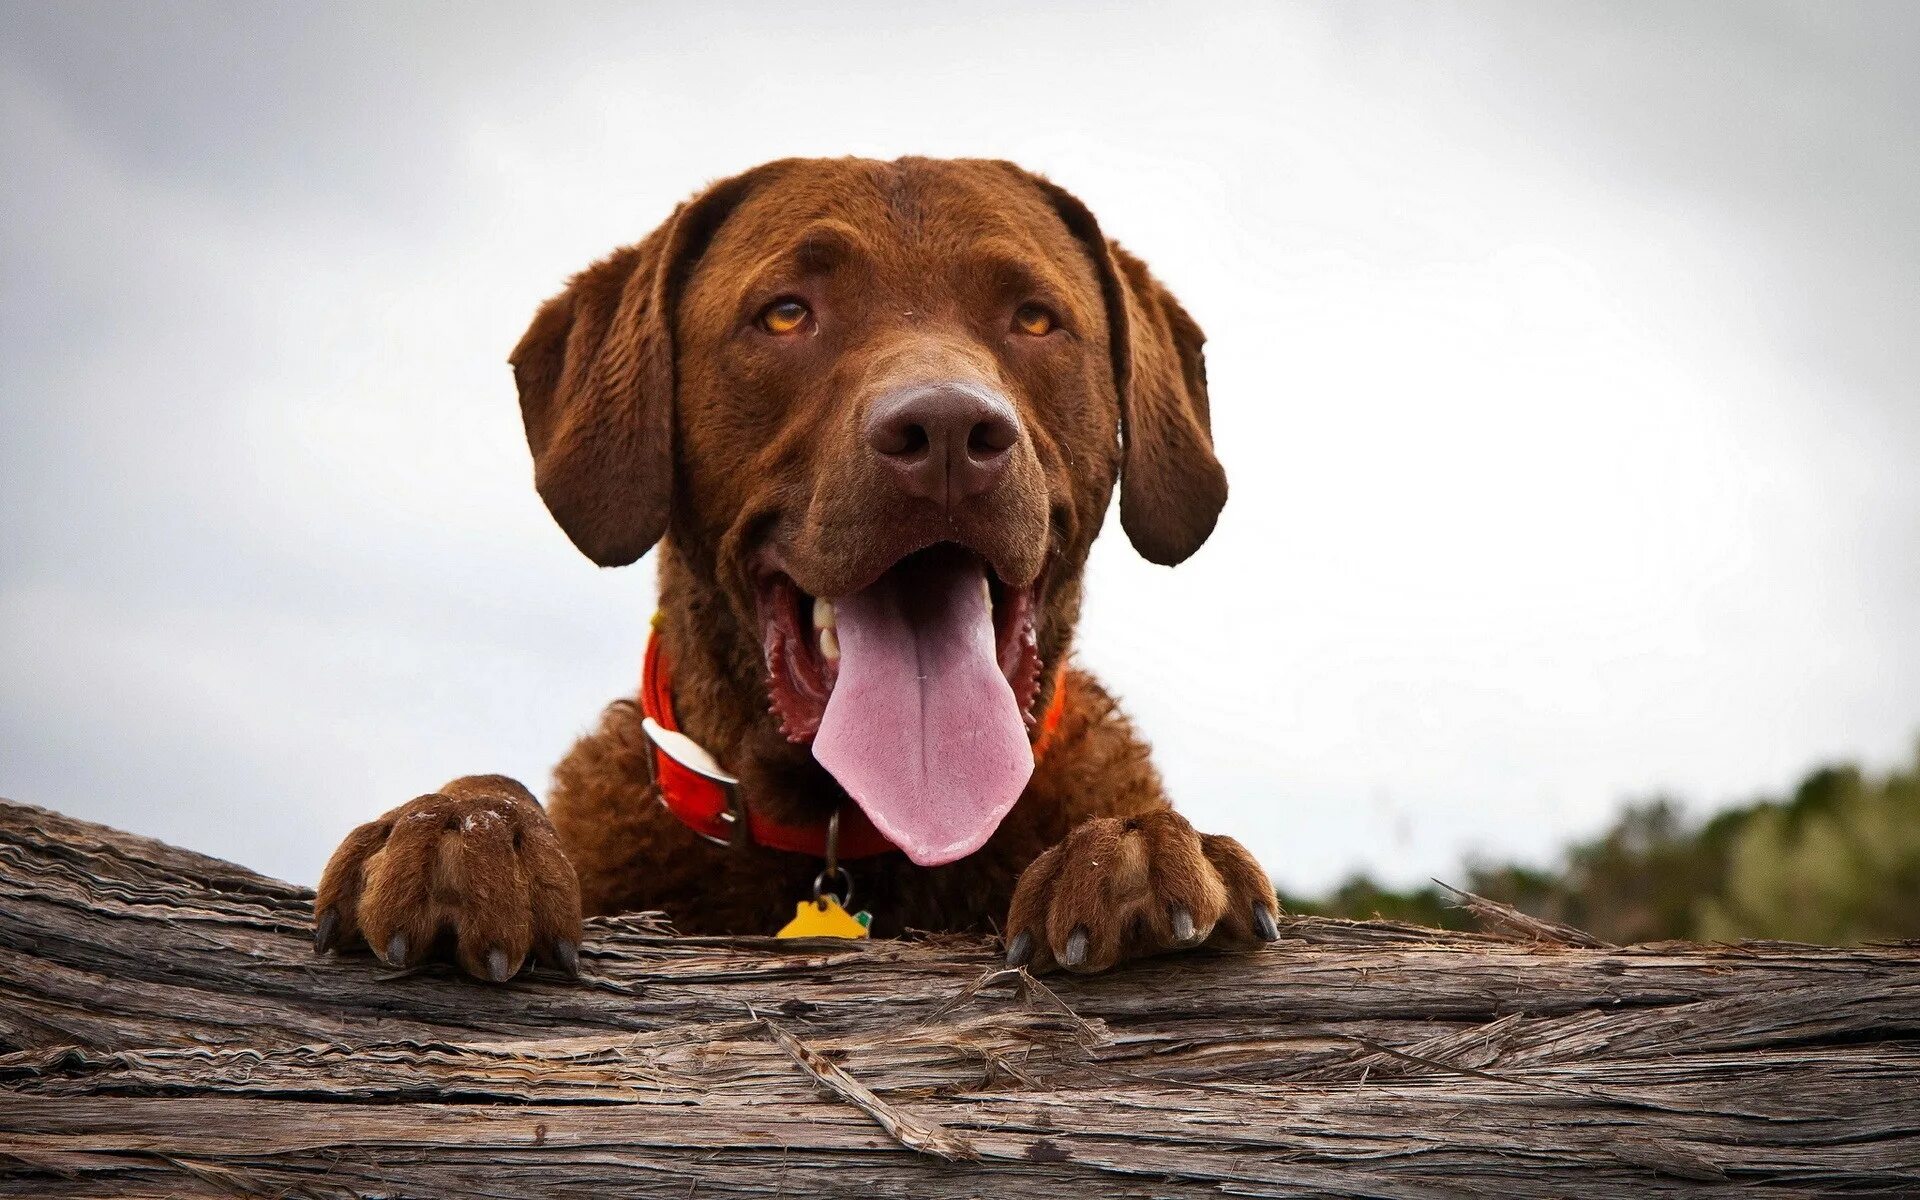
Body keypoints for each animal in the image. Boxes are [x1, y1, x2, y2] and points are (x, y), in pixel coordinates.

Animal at [311, 154, 1274, 979]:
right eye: (785, 313)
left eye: (1034, 317)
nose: (948, 433)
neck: (854, 835)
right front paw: (461, 830)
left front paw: (1132, 847)